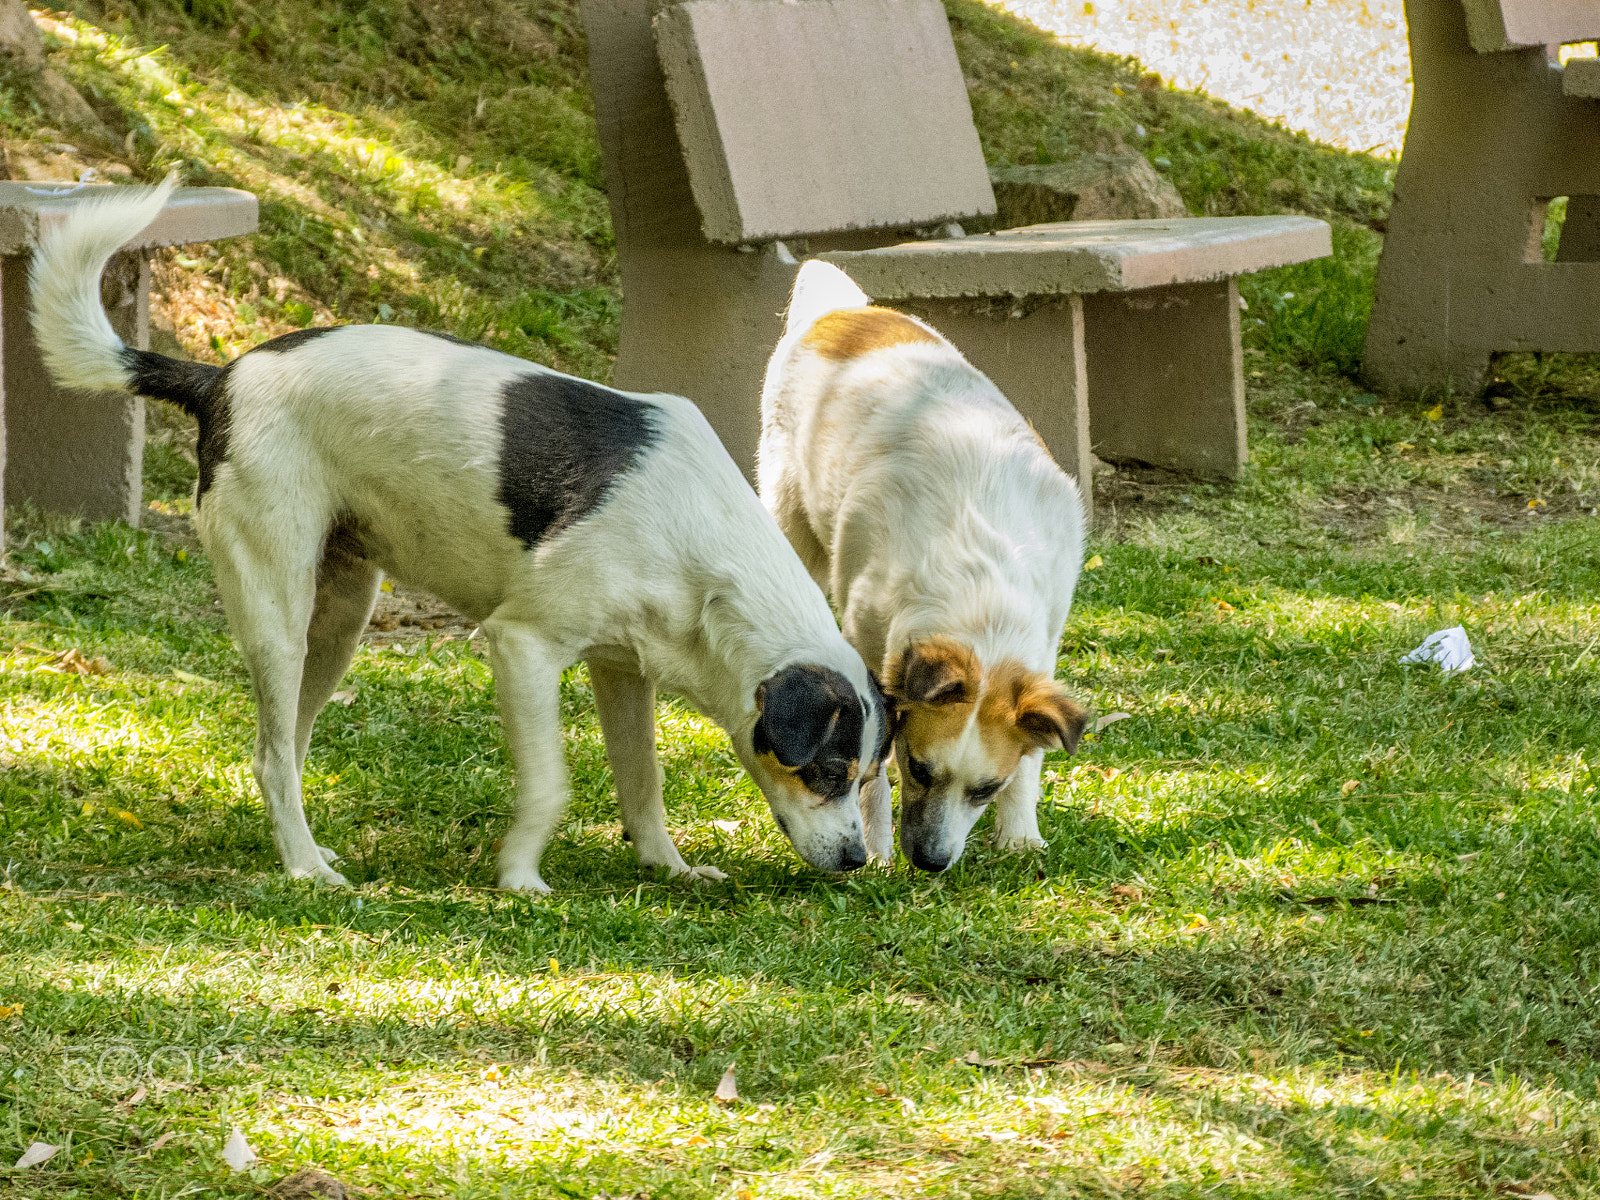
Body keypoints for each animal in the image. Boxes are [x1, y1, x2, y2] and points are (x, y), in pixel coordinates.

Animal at [758, 260, 1088, 876]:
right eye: (918, 768)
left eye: (985, 789)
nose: (933, 862)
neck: (982, 592)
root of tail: (844, 311)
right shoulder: (869, 649)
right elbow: (871, 764)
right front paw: (877, 845)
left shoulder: (1045, 641)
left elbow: (1031, 759)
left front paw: (1019, 834)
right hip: (790, 520)